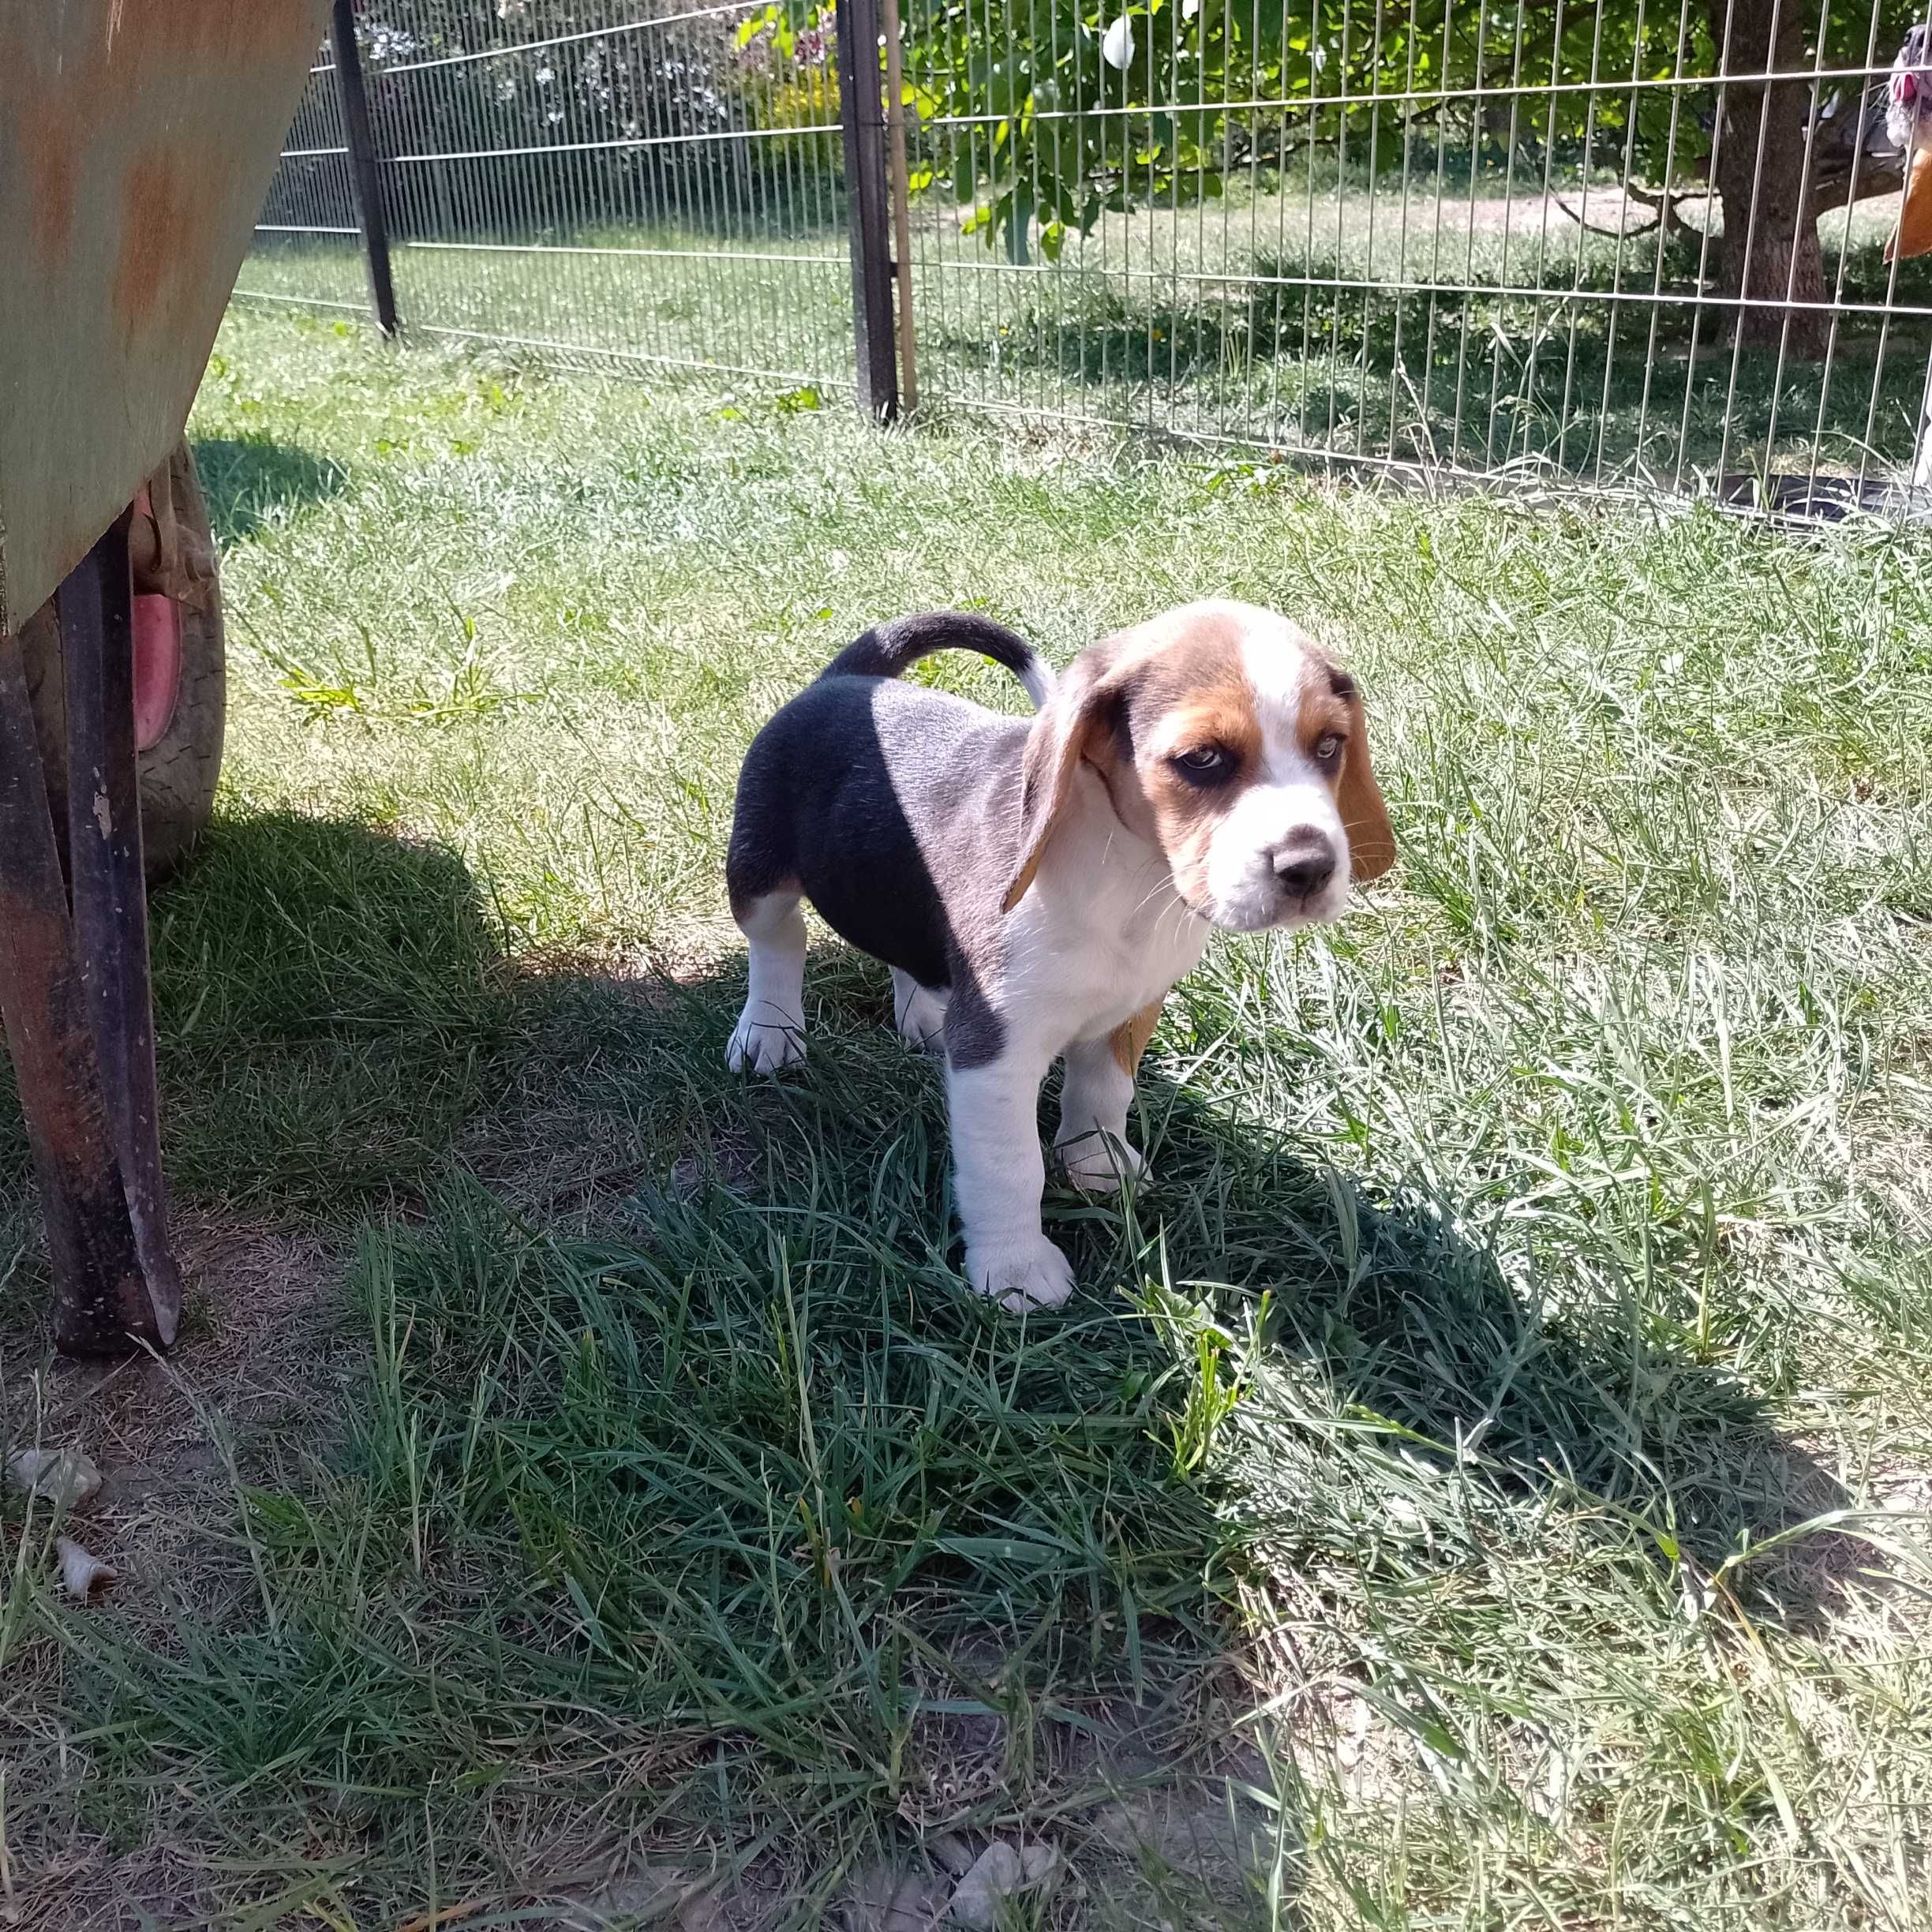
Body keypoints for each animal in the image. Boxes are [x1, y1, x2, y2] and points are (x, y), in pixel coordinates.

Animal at [726, 602, 1391, 1313]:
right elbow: (1010, 1166)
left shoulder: (1133, 1008)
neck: (1129, 875)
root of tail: (849, 679)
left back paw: (922, 1017)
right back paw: (769, 1033)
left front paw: (1098, 1164)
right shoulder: (996, 1052)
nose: (1311, 866)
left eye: (1330, 746)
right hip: (757, 876)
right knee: (779, 946)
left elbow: (1103, 1093)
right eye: (1202, 759)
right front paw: (1015, 1269)